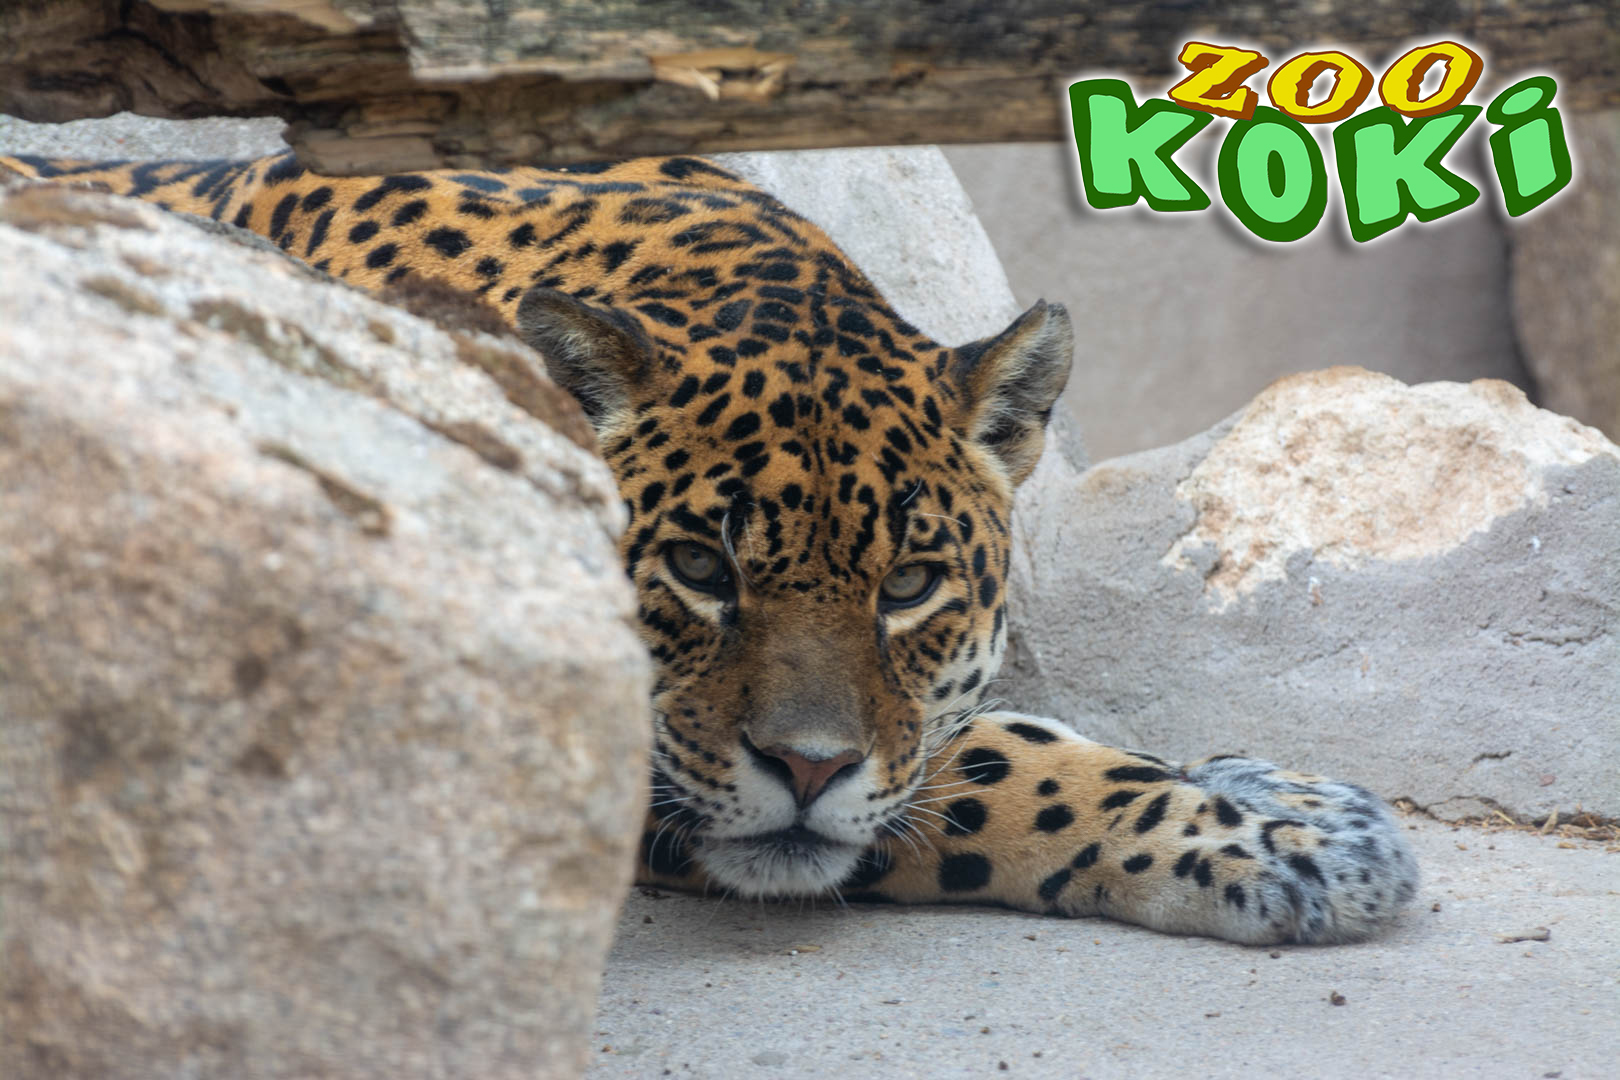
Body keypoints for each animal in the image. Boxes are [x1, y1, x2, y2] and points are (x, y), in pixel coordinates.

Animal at [0, 148, 1418, 944]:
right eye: (698, 569)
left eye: (910, 586)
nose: (806, 768)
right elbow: (977, 770)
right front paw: (1270, 846)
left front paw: (1292, 798)